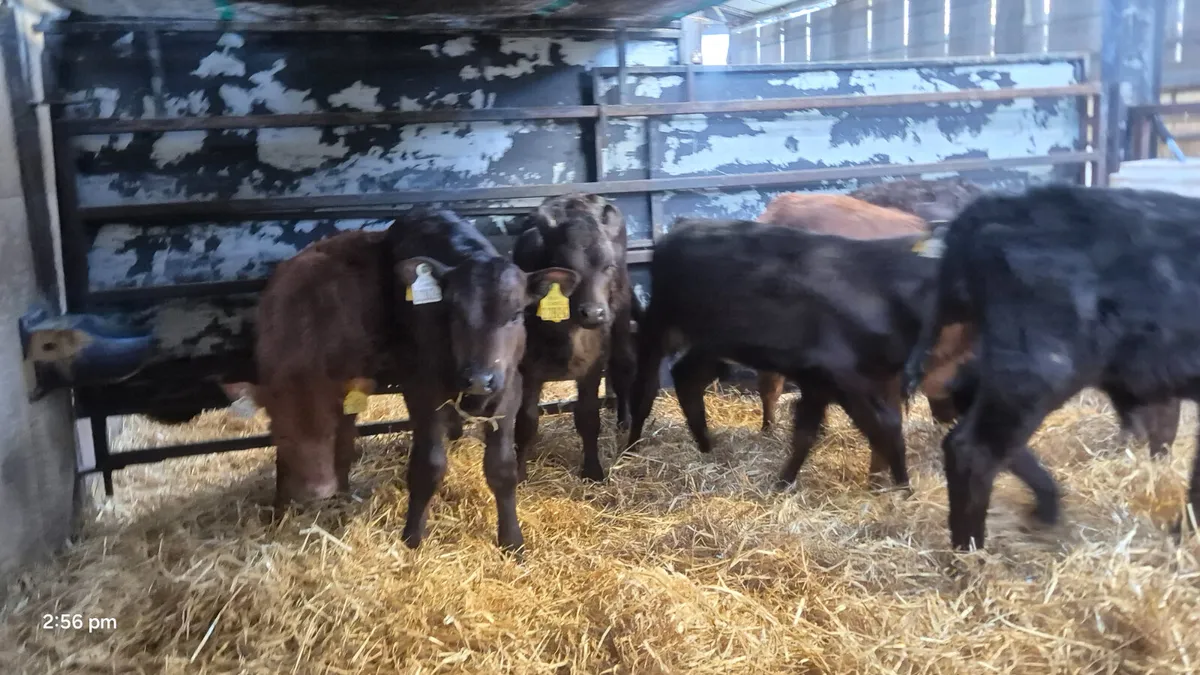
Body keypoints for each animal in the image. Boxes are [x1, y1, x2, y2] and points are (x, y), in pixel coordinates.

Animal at [385, 209, 578, 553]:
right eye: (453, 311)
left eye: (516, 313)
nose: (479, 378)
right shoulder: (423, 390)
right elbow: (429, 465)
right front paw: (412, 537)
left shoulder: (509, 390)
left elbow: (502, 468)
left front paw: (512, 540)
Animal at [509, 194, 637, 482]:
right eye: (567, 268)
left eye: (608, 266)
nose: (594, 313)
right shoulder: (528, 368)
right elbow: (526, 420)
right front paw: (519, 472)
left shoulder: (592, 364)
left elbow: (588, 416)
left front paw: (593, 470)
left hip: (622, 323)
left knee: (623, 370)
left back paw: (625, 425)